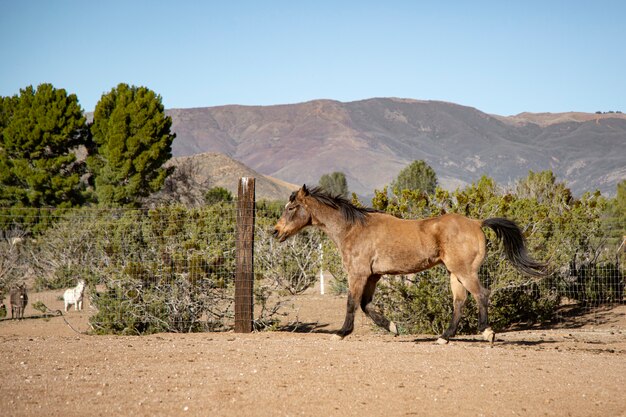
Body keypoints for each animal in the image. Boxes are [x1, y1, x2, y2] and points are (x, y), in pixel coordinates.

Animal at [270, 185, 544, 344]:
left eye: (292, 207)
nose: (275, 232)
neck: (354, 229)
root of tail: (477, 223)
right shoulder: (373, 276)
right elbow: (365, 304)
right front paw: (392, 327)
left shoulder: (358, 273)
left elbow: (351, 302)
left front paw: (341, 332)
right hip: (454, 273)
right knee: (460, 301)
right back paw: (444, 337)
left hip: (464, 271)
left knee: (481, 294)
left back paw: (487, 332)